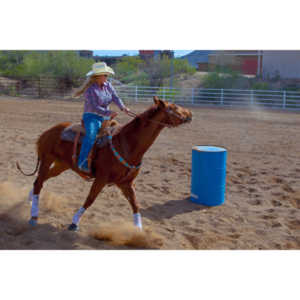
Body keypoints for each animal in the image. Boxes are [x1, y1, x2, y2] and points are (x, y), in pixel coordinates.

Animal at [17, 97, 192, 231]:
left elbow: (135, 205)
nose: (190, 113)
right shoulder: (101, 179)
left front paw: (139, 230)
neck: (127, 144)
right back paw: (34, 216)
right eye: (173, 107)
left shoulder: (126, 183)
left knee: (40, 180)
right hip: (47, 159)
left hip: (61, 165)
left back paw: (30, 199)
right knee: (39, 182)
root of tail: (47, 132)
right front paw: (74, 222)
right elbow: (90, 199)